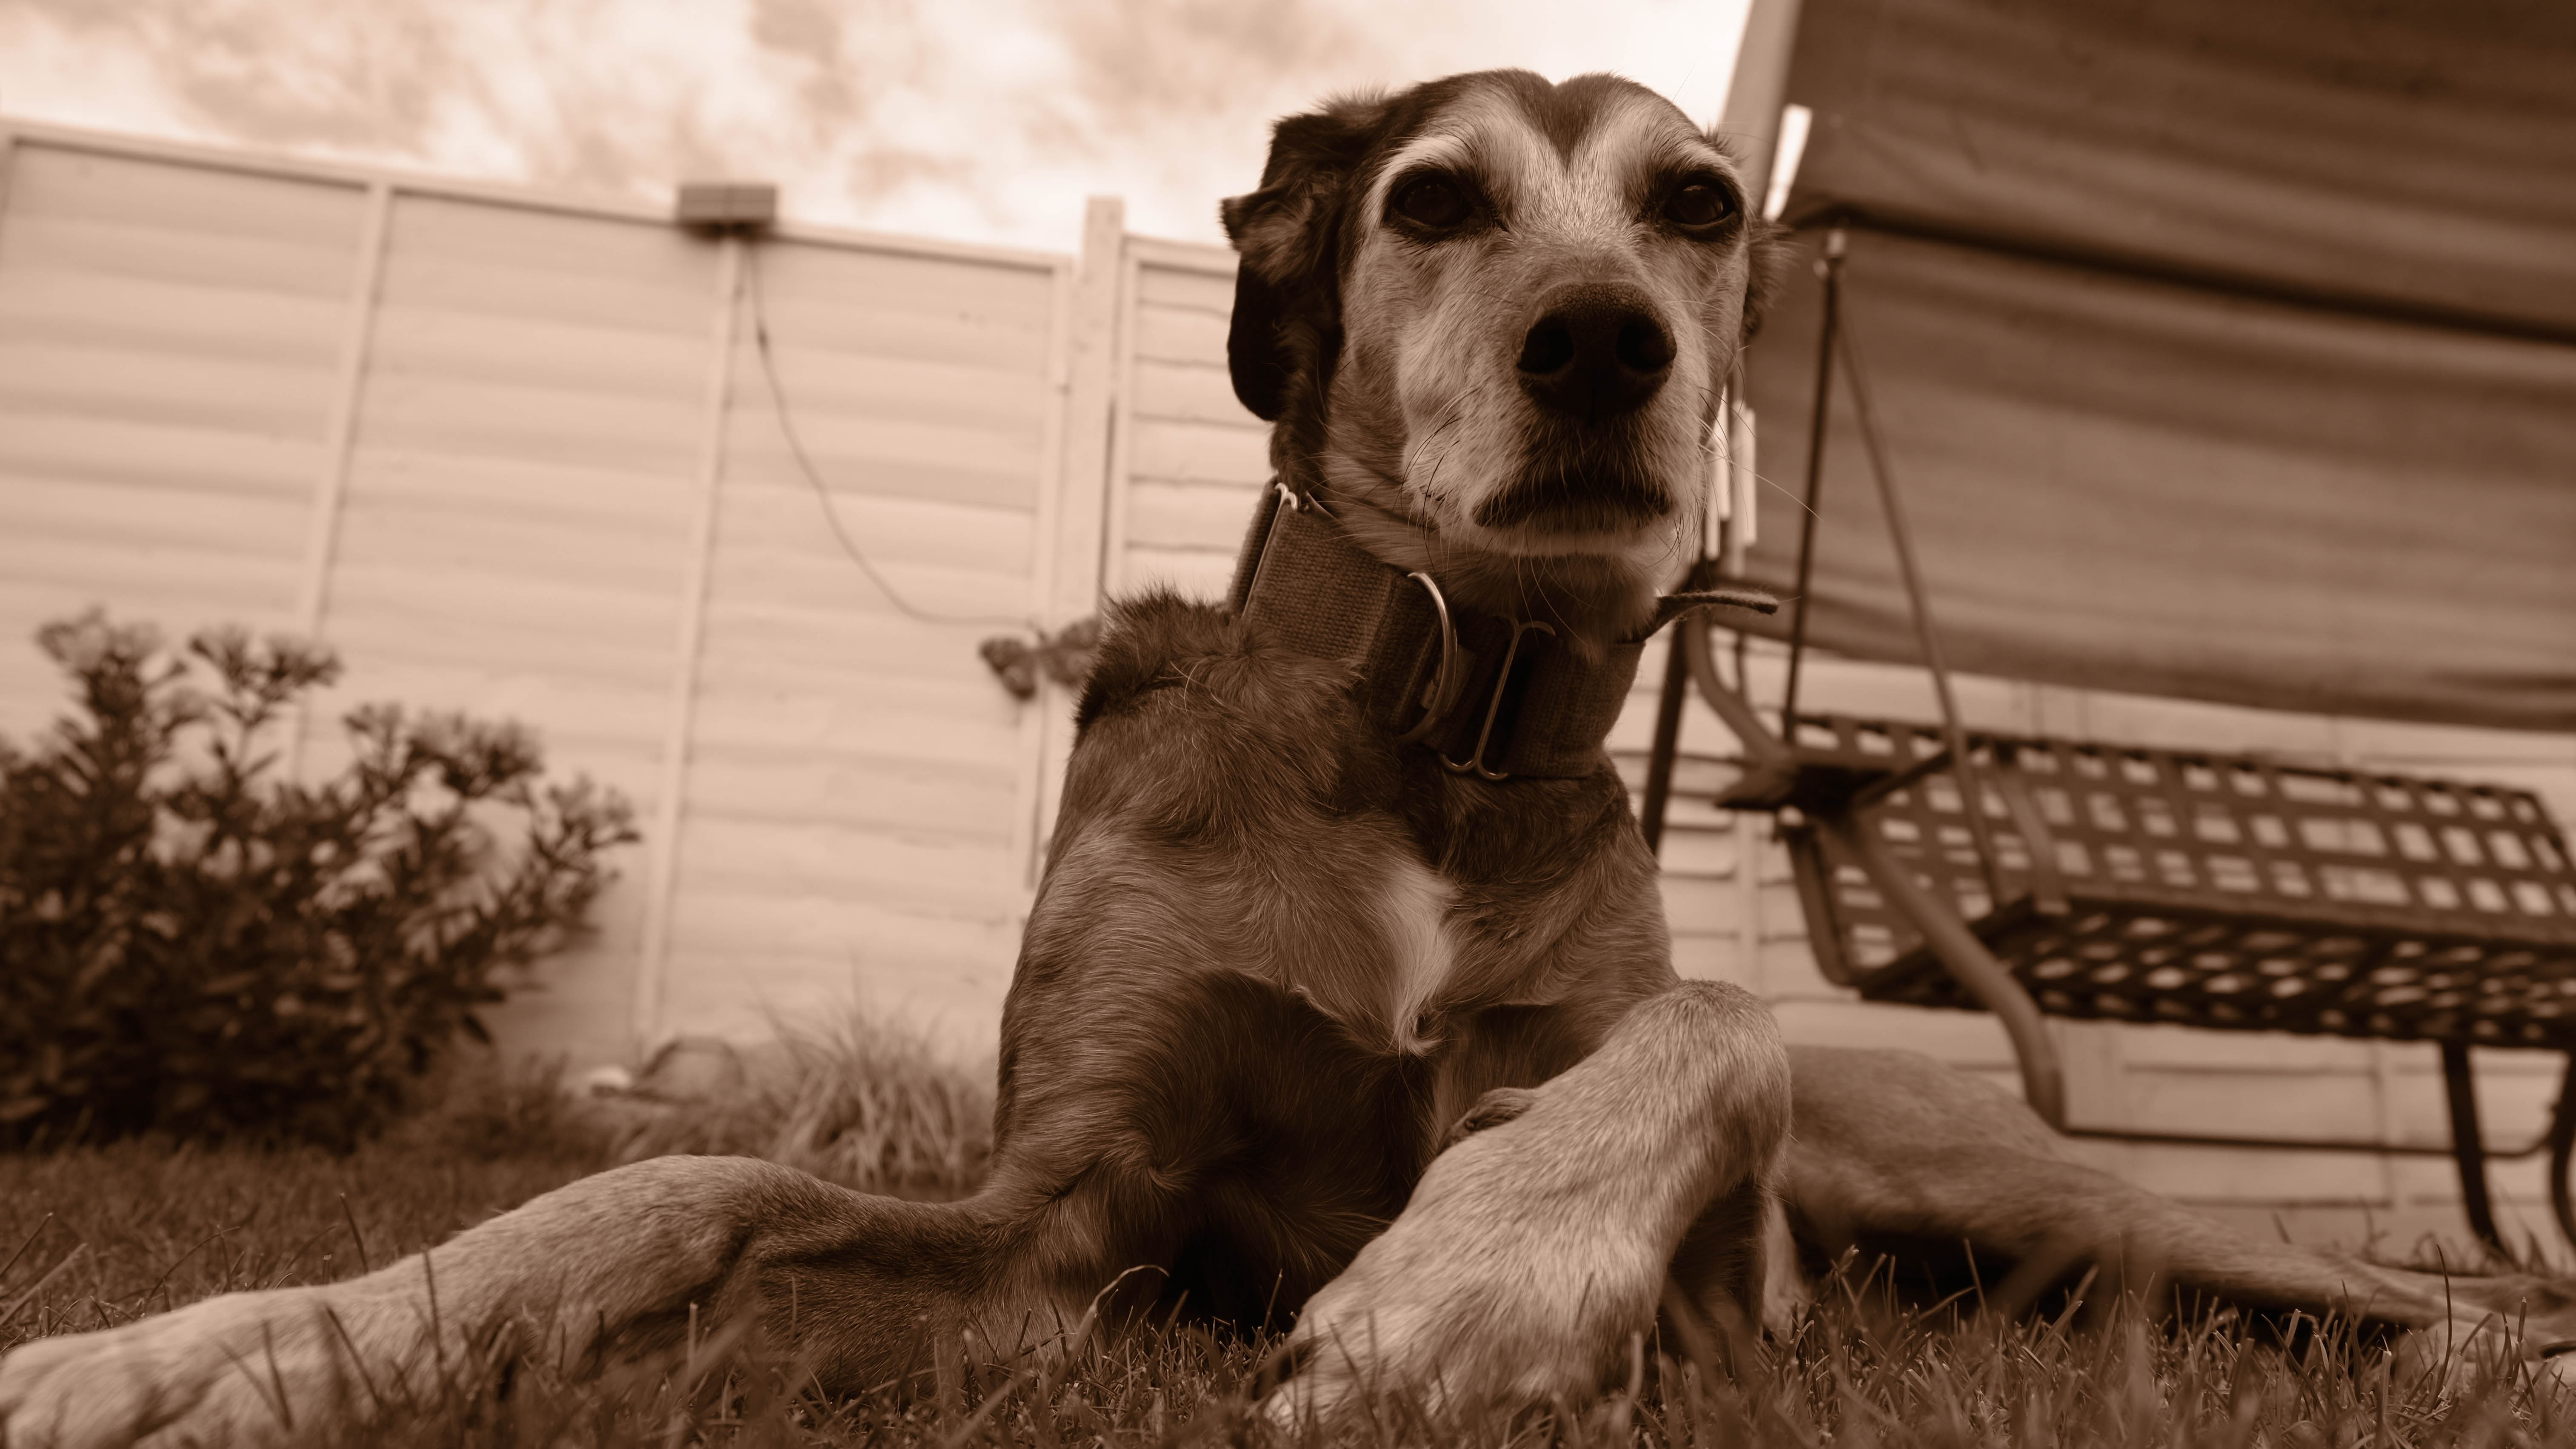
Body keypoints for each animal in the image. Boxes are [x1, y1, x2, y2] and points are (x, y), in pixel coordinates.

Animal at [5, 70, 2576, 1443]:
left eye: (1697, 203)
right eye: (1432, 199)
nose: (1603, 344)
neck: (1435, 723)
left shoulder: (1722, 1273)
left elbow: (1707, 1019)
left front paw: (1479, 1277)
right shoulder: (1065, 1230)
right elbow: (672, 1183)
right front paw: (230, 1344)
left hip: (2060, 1198)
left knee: (2394, 1294)